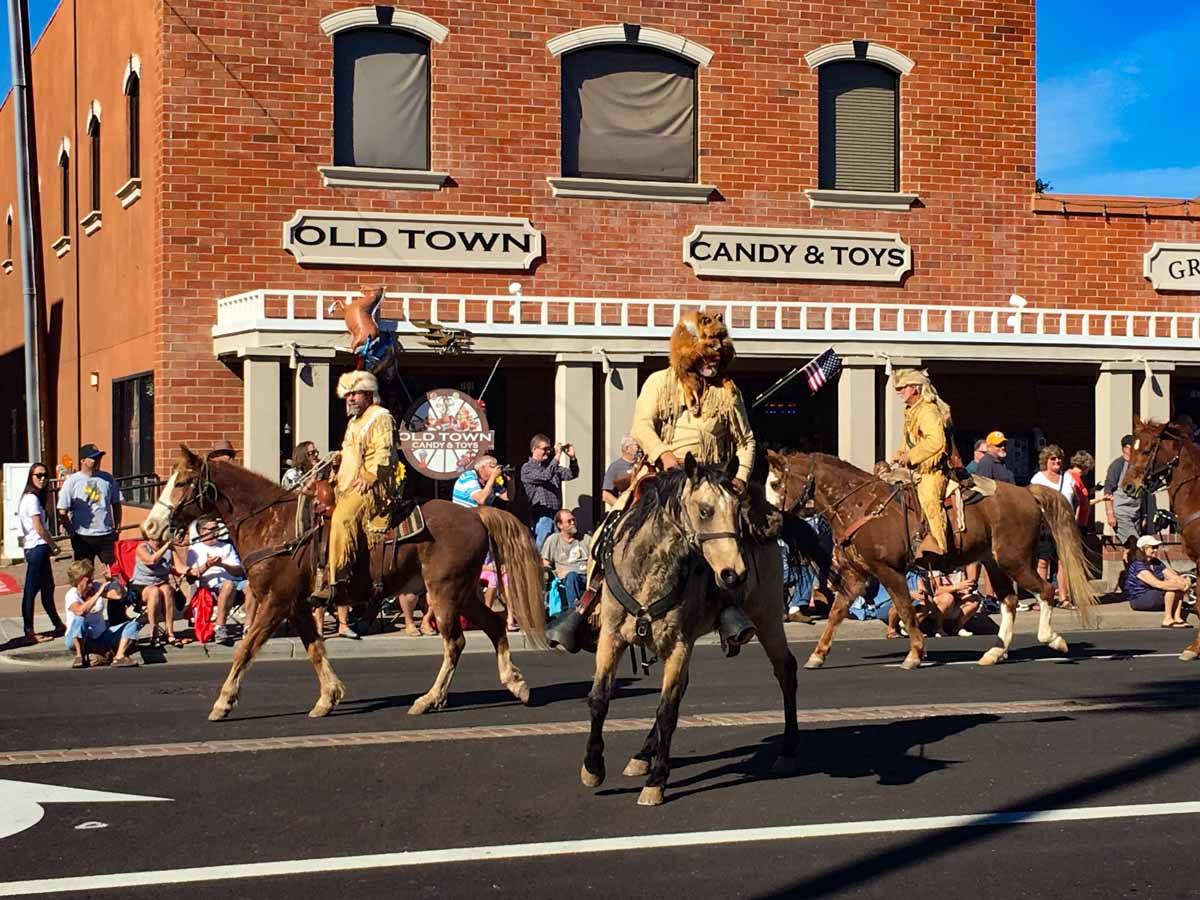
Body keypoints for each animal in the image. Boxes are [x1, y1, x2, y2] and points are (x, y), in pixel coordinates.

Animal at [141, 448, 549, 724]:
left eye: (182, 483)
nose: (149, 527)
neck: (273, 524)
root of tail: (475, 513)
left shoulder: (277, 601)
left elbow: (245, 649)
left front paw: (223, 702)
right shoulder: (298, 605)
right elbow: (314, 648)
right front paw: (329, 697)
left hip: (445, 591)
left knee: (456, 642)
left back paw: (428, 700)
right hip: (462, 592)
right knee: (493, 625)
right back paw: (516, 685)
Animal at [580, 458, 796, 811]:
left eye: (737, 510)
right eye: (705, 510)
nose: (735, 574)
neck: (650, 570)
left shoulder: (679, 644)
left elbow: (667, 710)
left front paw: (656, 783)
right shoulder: (612, 636)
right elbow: (599, 698)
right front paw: (593, 768)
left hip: (768, 619)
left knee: (785, 670)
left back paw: (789, 751)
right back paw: (642, 755)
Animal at [768, 451, 1099, 672]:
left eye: (774, 483)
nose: (768, 519)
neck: (861, 505)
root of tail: (1027, 492)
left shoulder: (889, 571)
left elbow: (905, 609)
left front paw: (914, 654)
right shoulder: (856, 575)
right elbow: (837, 613)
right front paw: (817, 655)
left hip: (1013, 560)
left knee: (1045, 591)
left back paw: (1053, 640)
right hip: (995, 563)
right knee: (1009, 600)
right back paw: (995, 652)